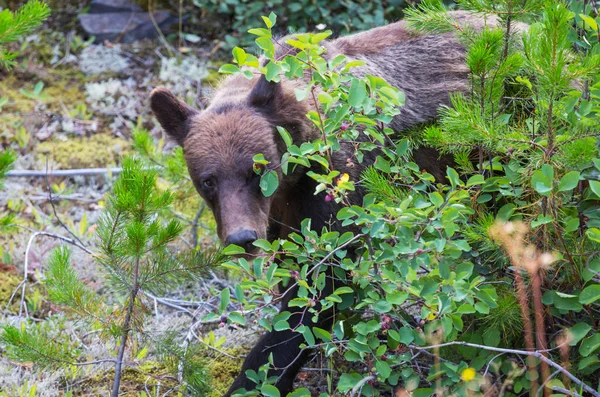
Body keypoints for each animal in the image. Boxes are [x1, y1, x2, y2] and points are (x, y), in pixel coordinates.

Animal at [150, 11, 524, 396]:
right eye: (208, 180)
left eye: (256, 170)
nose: (242, 238)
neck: (294, 172)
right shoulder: (282, 217)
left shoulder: (334, 186)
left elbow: (318, 293)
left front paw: (254, 378)